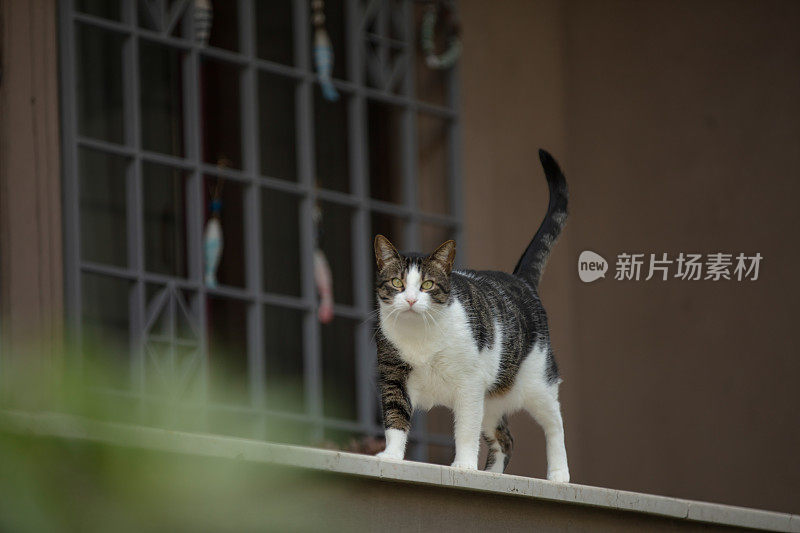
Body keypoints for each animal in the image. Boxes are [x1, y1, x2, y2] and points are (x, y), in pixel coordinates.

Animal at [374, 148, 568, 480]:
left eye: (427, 285)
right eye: (397, 283)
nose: (410, 300)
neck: (420, 335)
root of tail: (521, 280)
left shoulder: (469, 384)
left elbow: (465, 428)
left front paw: (464, 465)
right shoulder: (393, 374)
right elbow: (396, 418)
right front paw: (392, 457)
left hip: (537, 379)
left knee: (554, 422)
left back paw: (559, 475)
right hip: (491, 400)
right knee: (506, 438)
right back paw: (494, 474)